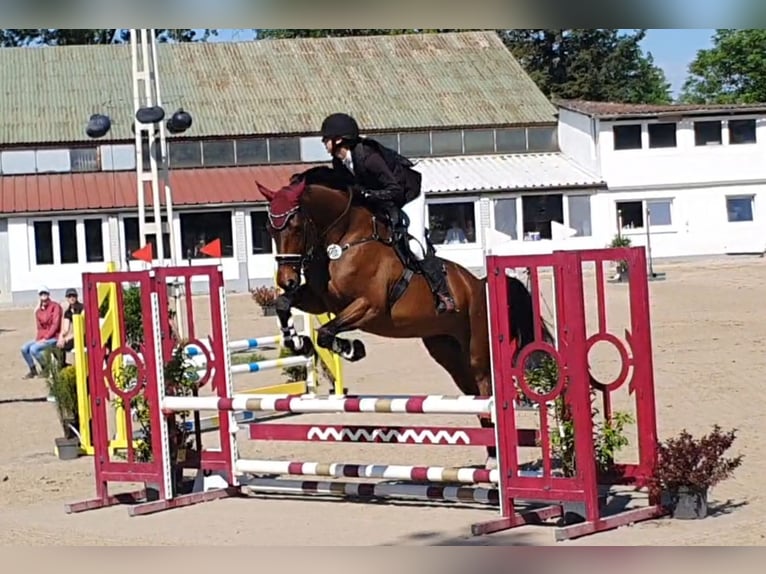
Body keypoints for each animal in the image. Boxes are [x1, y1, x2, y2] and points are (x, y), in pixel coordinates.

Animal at [256, 164, 544, 470]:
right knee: (474, 394)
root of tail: (478, 284)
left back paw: (495, 460)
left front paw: (352, 349)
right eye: (269, 229)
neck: (343, 240)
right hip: (447, 351)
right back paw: (490, 454)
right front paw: (298, 342)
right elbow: (284, 305)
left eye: (296, 226)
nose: (286, 280)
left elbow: (326, 333)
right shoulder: (317, 299)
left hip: (477, 348)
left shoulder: (369, 307)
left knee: (485, 386)